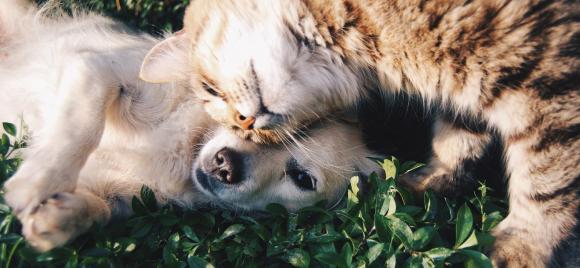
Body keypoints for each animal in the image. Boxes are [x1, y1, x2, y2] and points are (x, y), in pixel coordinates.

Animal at [140, 1, 580, 266]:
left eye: (210, 90)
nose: (246, 123)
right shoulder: (468, 89)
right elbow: (458, 137)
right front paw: (428, 183)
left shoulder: (548, 80)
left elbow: (546, 182)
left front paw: (524, 246)